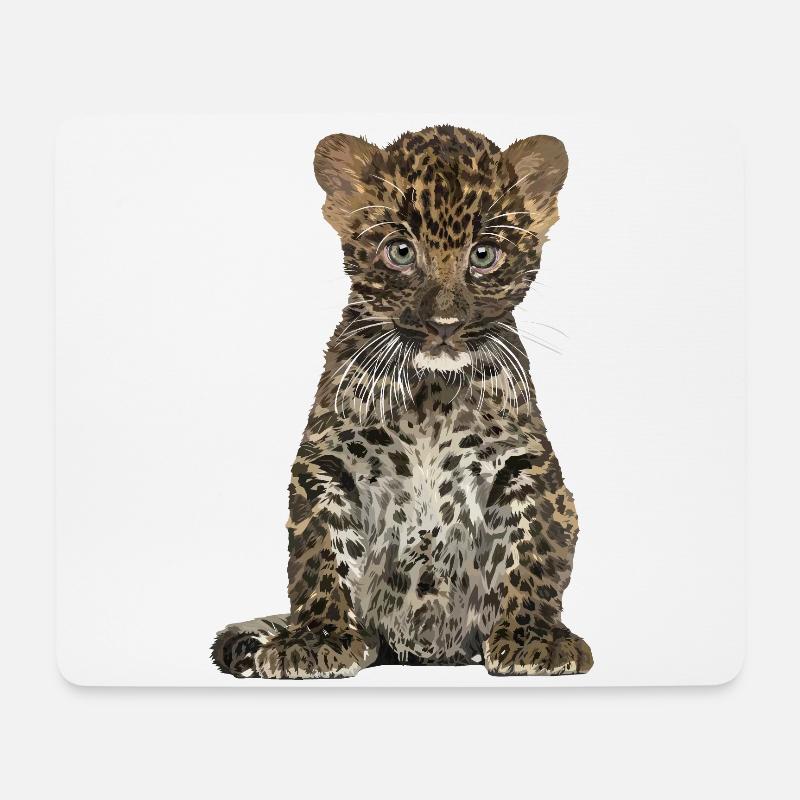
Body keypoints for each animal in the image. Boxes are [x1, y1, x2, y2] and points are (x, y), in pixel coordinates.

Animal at [211, 125, 593, 678]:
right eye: (400, 252)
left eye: (484, 255)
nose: (444, 324)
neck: (431, 394)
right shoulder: (327, 462)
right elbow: (319, 552)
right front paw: (316, 639)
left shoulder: (525, 463)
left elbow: (534, 548)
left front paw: (534, 639)